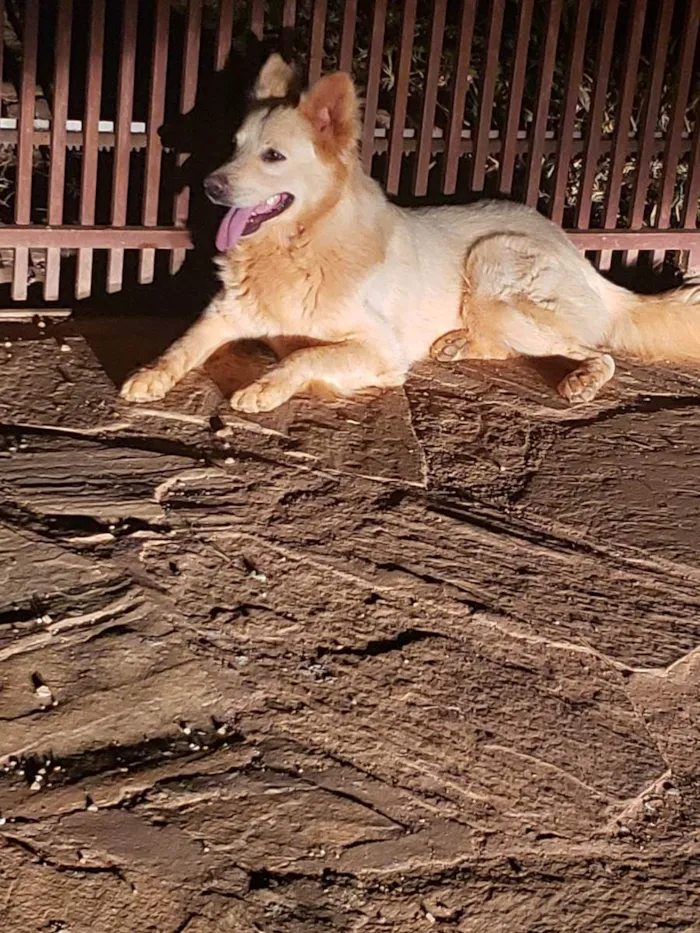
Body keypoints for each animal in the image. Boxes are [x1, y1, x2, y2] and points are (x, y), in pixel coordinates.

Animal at [120, 53, 700, 412]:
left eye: (273, 156)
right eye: (234, 148)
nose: (210, 186)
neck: (302, 243)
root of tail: (579, 256)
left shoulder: (379, 348)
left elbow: (306, 355)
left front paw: (265, 387)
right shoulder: (225, 314)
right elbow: (182, 344)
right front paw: (151, 372)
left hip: (492, 272)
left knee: (597, 351)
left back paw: (579, 377)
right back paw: (459, 345)